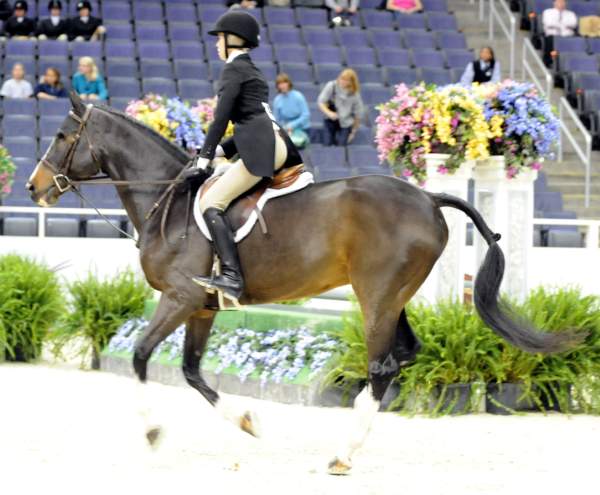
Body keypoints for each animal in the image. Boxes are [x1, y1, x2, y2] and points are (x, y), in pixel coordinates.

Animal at [27, 94, 580, 476]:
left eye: (62, 135)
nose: (34, 187)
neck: (171, 202)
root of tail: (428, 198)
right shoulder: (202, 306)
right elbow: (191, 371)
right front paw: (247, 422)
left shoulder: (180, 297)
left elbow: (142, 357)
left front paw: (154, 432)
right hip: (392, 297)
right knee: (403, 355)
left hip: (376, 296)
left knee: (382, 365)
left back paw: (342, 454)